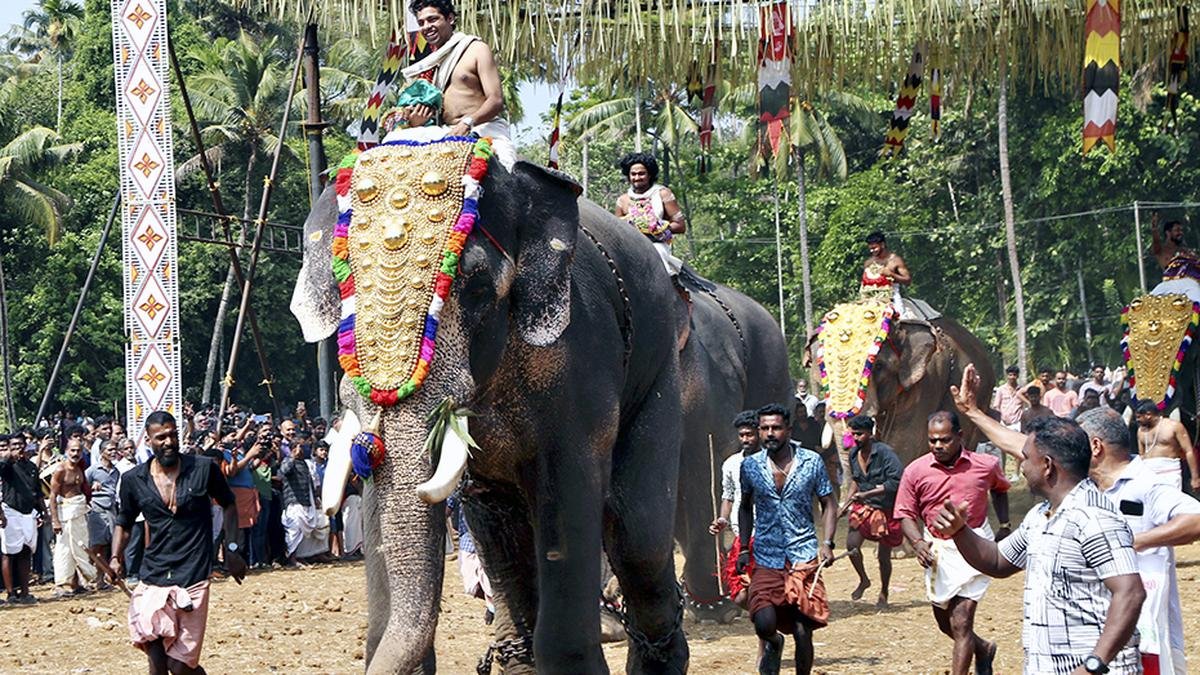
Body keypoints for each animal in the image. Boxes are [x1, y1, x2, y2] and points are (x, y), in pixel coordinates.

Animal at [291, 138, 696, 672]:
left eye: (479, 288)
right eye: (343, 292)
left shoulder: (578, 360)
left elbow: (572, 492)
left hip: (660, 365)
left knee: (637, 532)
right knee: (500, 529)